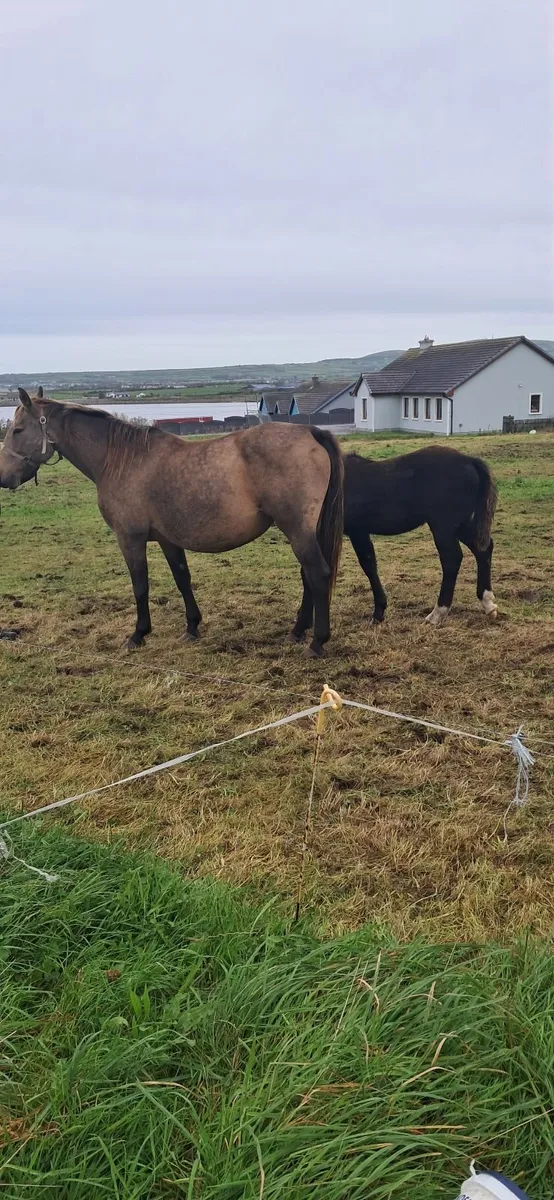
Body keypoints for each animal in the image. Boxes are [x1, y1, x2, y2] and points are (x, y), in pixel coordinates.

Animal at [0, 389, 343, 657]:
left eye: (17, 430)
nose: (3, 478)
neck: (121, 460)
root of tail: (310, 433)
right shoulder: (168, 540)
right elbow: (182, 579)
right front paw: (192, 627)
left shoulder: (130, 538)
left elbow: (140, 586)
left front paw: (138, 634)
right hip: (304, 531)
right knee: (308, 577)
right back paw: (298, 631)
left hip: (297, 530)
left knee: (317, 574)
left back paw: (316, 642)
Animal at [343, 445, 498, 625]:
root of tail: (468, 460)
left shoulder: (357, 531)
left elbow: (368, 566)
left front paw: (378, 613)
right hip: (459, 525)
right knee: (482, 549)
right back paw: (488, 603)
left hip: (443, 527)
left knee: (452, 559)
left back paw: (437, 613)